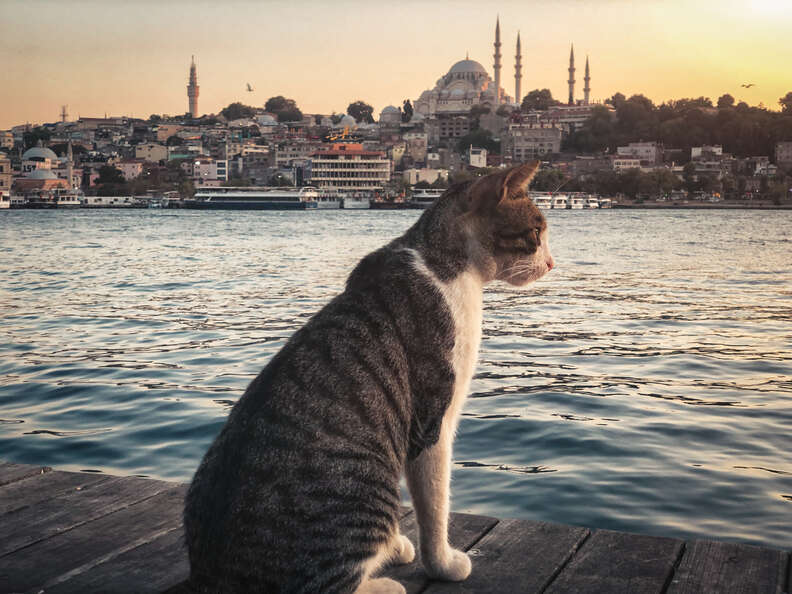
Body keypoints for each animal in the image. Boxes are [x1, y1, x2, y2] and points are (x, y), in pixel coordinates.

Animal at [184, 162, 556, 592]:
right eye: (536, 233)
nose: (552, 264)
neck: (444, 264)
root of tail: (211, 579)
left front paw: (398, 546)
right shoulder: (433, 420)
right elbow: (435, 506)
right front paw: (443, 564)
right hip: (363, 491)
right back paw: (386, 583)